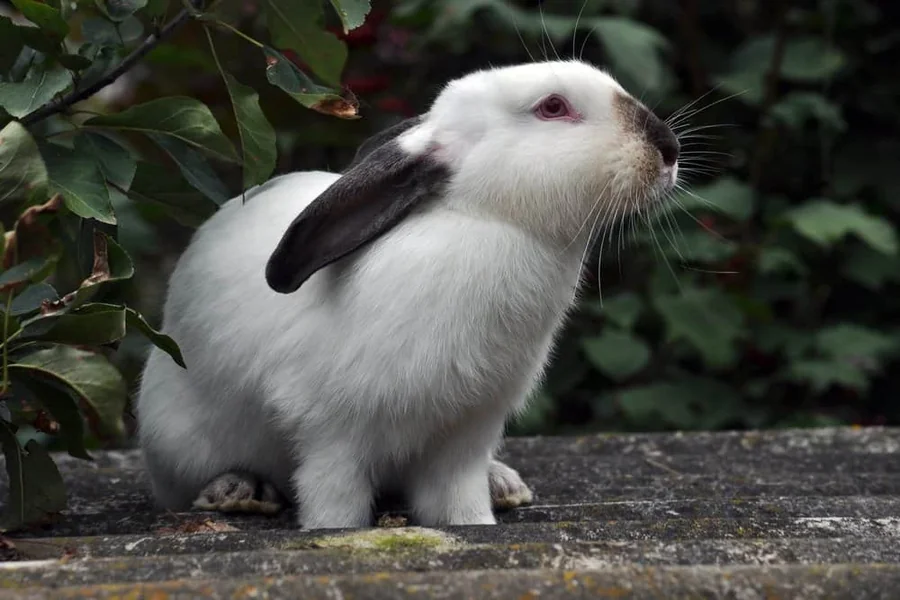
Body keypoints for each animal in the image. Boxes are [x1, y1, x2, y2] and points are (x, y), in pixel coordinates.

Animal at [136, 59, 680, 530]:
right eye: (553, 107)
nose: (669, 148)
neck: (485, 221)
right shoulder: (331, 433)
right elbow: (334, 499)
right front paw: (334, 530)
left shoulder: (467, 433)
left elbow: (458, 498)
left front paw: (476, 521)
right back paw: (237, 489)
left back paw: (504, 484)